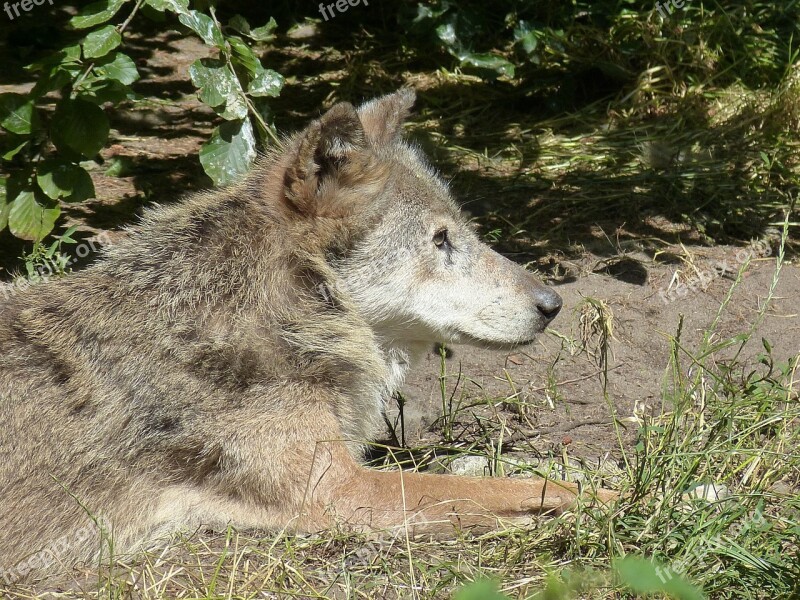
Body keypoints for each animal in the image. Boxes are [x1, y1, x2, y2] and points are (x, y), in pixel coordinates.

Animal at [0, 88, 612, 580]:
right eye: (440, 239)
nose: (553, 305)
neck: (277, 313)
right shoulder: (345, 493)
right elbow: (517, 489)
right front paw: (614, 498)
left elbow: (493, 467)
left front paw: (599, 470)